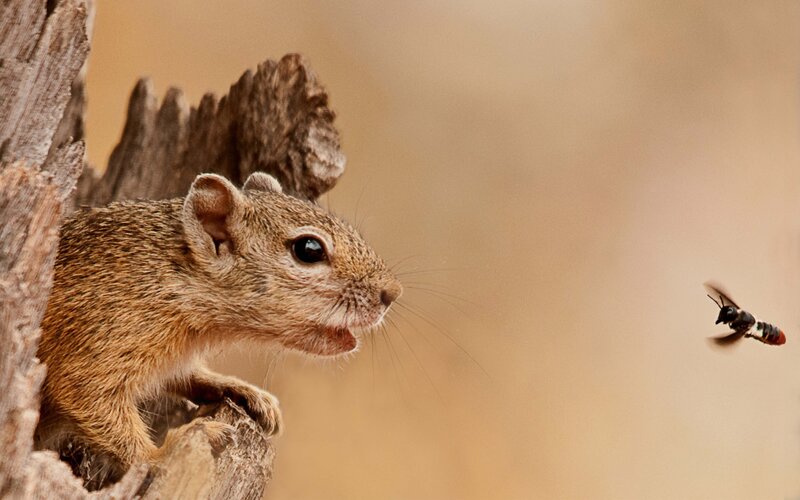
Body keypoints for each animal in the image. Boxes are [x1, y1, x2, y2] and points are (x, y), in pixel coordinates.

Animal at [35, 172, 402, 484]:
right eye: (309, 249)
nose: (392, 293)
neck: (175, 278)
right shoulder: (97, 344)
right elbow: (96, 406)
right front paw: (164, 453)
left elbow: (188, 377)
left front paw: (242, 391)